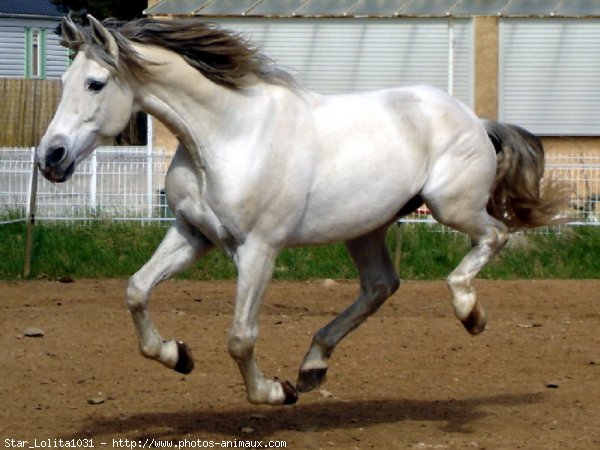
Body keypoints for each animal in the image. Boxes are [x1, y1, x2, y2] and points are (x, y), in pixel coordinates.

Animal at [36, 15, 568, 406]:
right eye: (61, 79)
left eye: (95, 83)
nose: (50, 158)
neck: (228, 135)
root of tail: (475, 119)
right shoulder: (193, 234)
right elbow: (136, 290)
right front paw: (176, 355)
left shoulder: (259, 249)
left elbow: (240, 336)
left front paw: (274, 392)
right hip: (367, 227)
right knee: (380, 286)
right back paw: (313, 365)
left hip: (449, 205)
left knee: (494, 235)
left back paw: (470, 313)